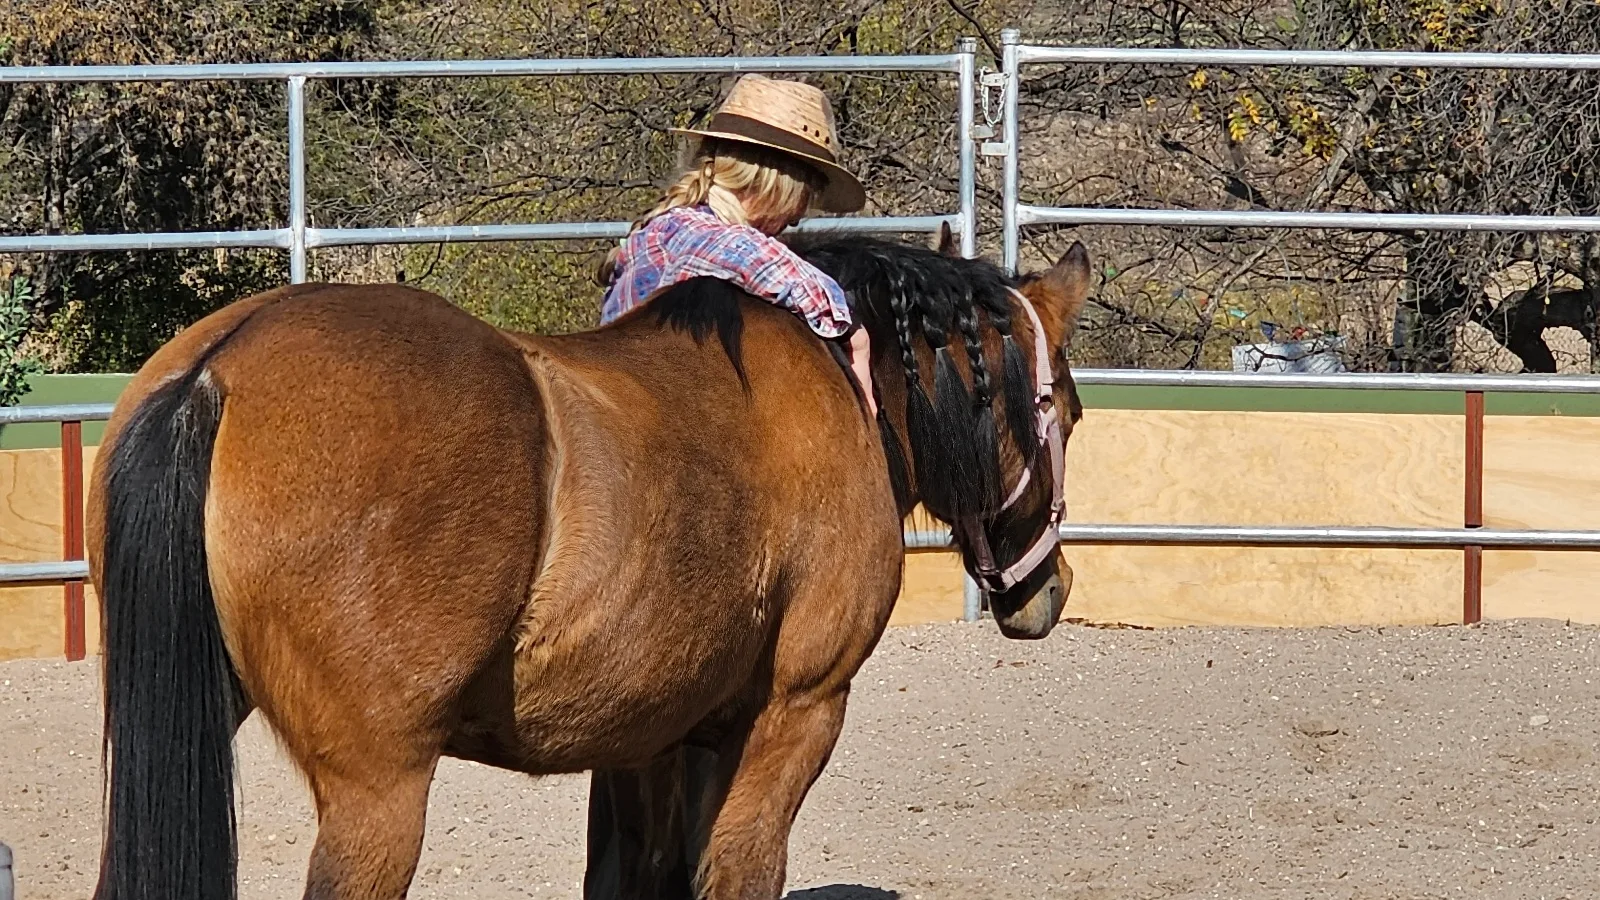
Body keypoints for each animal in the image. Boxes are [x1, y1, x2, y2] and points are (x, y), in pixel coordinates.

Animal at [84, 222, 1092, 900]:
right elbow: (740, 870)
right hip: (378, 792)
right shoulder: (797, 711)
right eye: (1071, 414)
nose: (1050, 588)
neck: (839, 377)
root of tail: (217, 368)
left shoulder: (654, 736)